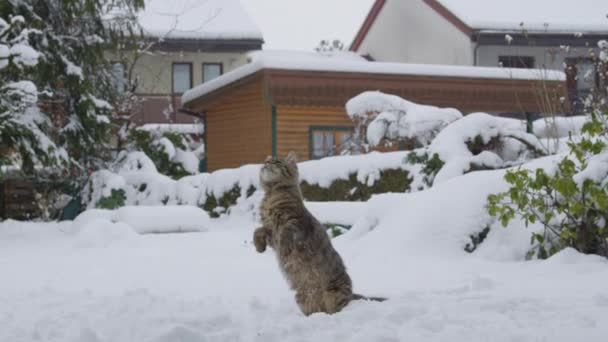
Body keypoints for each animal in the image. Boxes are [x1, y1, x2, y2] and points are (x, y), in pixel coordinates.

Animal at [253, 152, 384, 316]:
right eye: (266, 161)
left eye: (276, 162)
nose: (265, 164)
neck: (271, 194)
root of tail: (352, 294)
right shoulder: (270, 231)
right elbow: (257, 231)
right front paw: (259, 247)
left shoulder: (293, 222)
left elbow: (285, 236)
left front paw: (284, 248)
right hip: (303, 298)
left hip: (334, 295)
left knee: (336, 309)